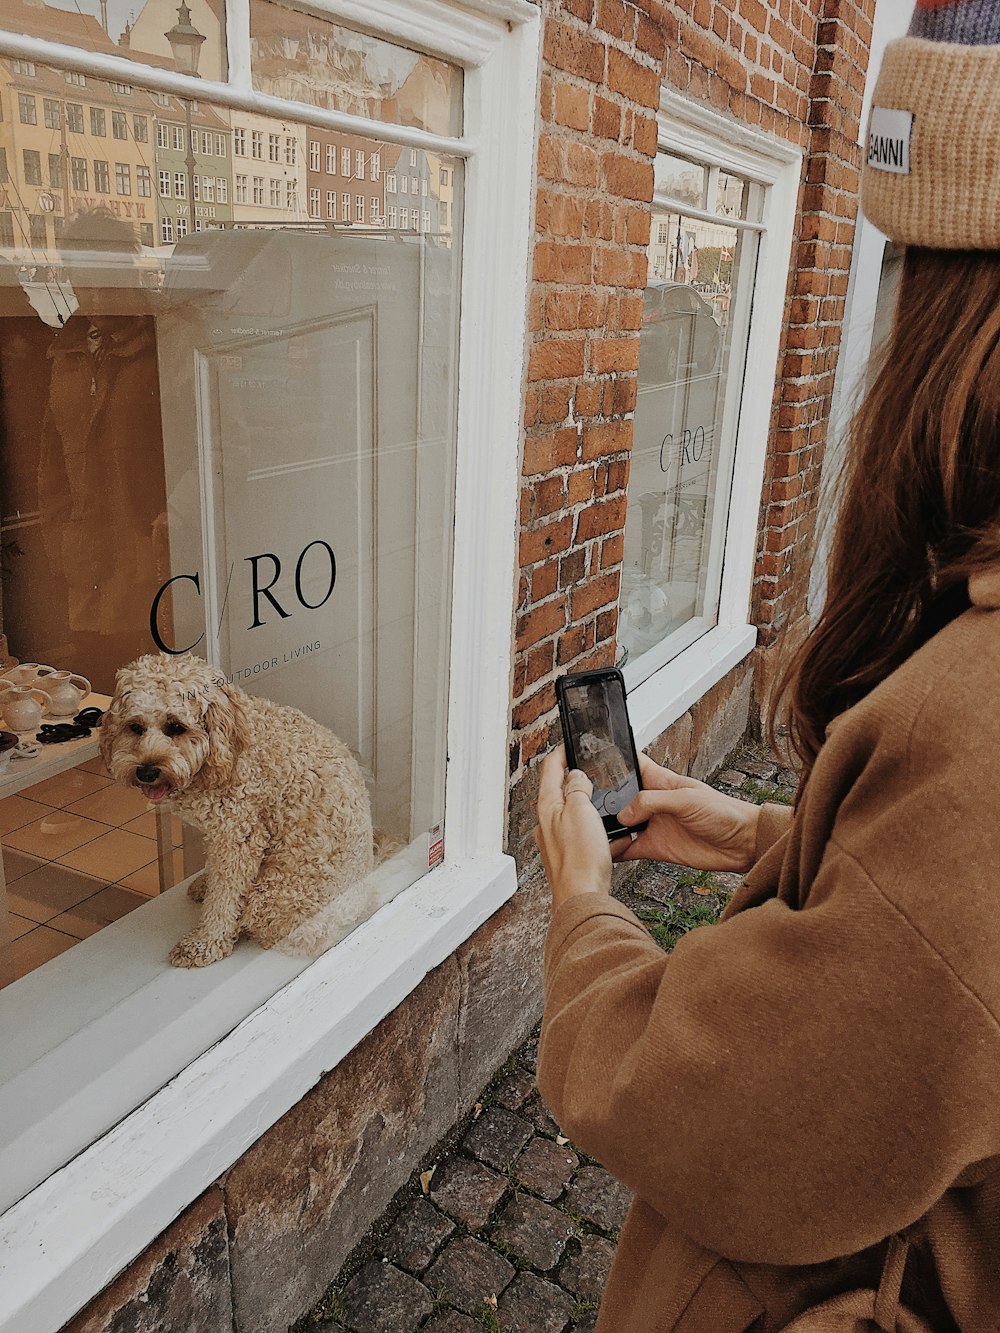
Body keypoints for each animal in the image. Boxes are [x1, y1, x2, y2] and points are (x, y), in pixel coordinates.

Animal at [102, 655, 378, 970]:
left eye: (176, 727)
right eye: (135, 727)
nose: (146, 772)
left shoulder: (239, 835)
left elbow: (225, 897)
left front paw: (204, 944)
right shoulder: (220, 833)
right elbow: (217, 875)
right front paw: (206, 884)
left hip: (272, 895)